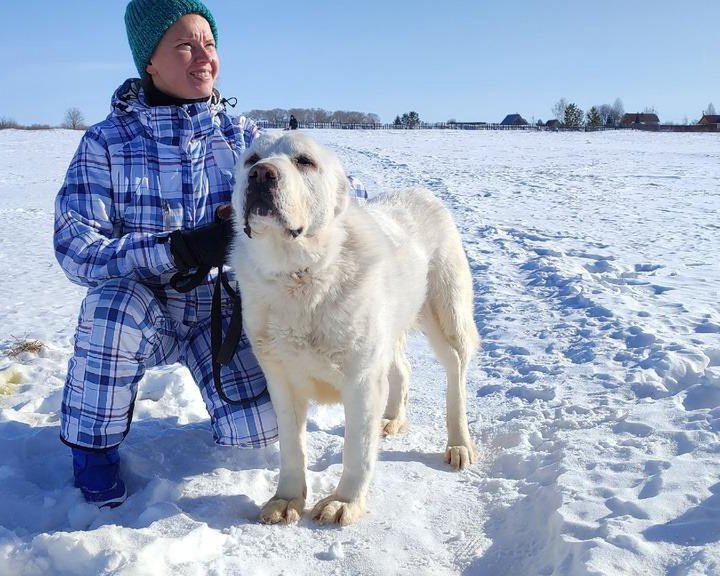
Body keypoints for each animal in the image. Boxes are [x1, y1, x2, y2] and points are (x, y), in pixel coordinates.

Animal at [231, 132, 478, 528]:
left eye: (304, 161)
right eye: (251, 159)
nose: (261, 174)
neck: (301, 274)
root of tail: (422, 193)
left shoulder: (361, 380)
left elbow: (356, 451)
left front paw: (345, 501)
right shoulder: (281, 382)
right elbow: (292, 449)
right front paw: (286, 498)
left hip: (445, 317)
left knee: (456, 374)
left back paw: (458, 443)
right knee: (402, 368)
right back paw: (392, 419)